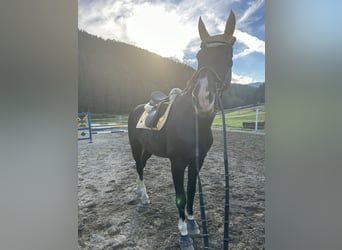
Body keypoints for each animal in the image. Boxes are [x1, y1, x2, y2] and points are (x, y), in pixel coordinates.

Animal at [128, 10, 235, 249]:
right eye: (198, 56)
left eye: (228, 55)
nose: (203, 99)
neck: (193, 122)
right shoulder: (176, 163)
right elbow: (180, 195)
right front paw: (184, 233)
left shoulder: (198, 160)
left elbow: (192, 190)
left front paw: (194, 223)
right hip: (135, 147)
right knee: (139, 168)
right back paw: (144, 197)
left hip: (148, 149)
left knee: (142, 166)